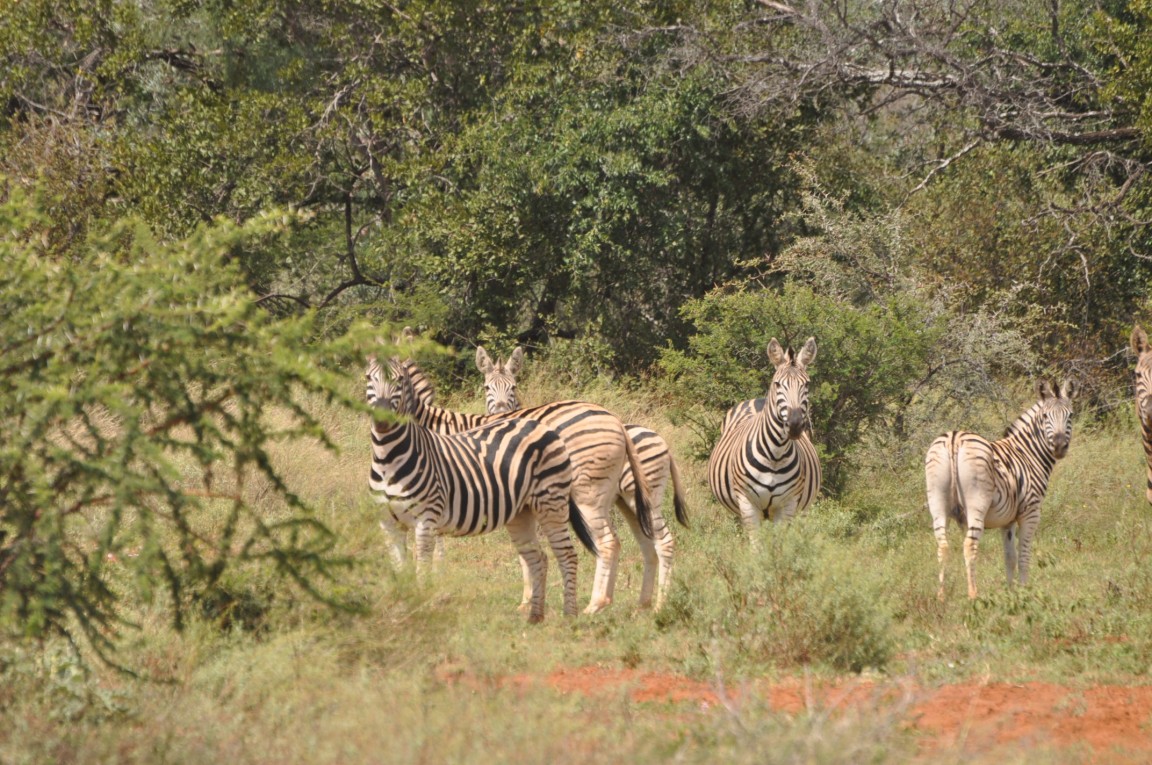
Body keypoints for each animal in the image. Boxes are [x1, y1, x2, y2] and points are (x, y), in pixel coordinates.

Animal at [368, 354, 658, 617]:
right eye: (487, 388)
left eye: (398, 381)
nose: (381, 419)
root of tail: (614, 419)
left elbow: (435, 550)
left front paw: (435, 590)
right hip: (620, 497)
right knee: (645, 540)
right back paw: (642, 604)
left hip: (587, 493)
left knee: (608, 542)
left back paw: (595, 605)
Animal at [472, 343, 686, 612]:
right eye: (487, 387)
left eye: (514, 387)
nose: (501, 412)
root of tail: (662, 440)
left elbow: (528, 551)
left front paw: (527, 601)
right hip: (629, 502)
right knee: (646, 543)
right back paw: (640, 605)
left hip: (639, 495)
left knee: (658, 541)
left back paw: (655, 605)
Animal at [705, 334, 824, 536]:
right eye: (777, 384)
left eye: (807, 384)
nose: (794, 425)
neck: (775, 455)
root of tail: (757, 399)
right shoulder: (747, 503)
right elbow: (757, 543)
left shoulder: (788, 505)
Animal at [921, 380, 1073, 599]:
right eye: (1045, 416)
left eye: (1071, 415)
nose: (1060, 447)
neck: (1028, 454)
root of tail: (954, 439)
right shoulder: (1030, 512)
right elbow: (1023, 554)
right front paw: (1024, 591)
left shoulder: (1007, 521)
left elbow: (1010, 557)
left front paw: (1011, 592)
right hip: (977, 503)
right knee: (970, 545)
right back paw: (973, 595)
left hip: (937, 502)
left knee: (943, 546)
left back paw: (941, 596)